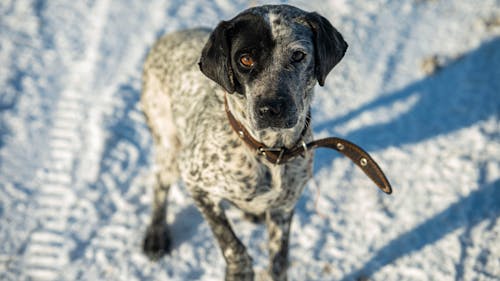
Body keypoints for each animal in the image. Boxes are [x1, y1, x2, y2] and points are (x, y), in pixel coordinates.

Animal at [141, 4, 348, 280]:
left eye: (298, 55)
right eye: (245, 59)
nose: (271, 109)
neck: (269, 150)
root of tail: (170, 36)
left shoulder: (284, 208)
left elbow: (278, 262)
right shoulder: (196, 183)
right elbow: (230, 242)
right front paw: (239, 270)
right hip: (169, 146)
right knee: (159, 184)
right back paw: (156, 234)